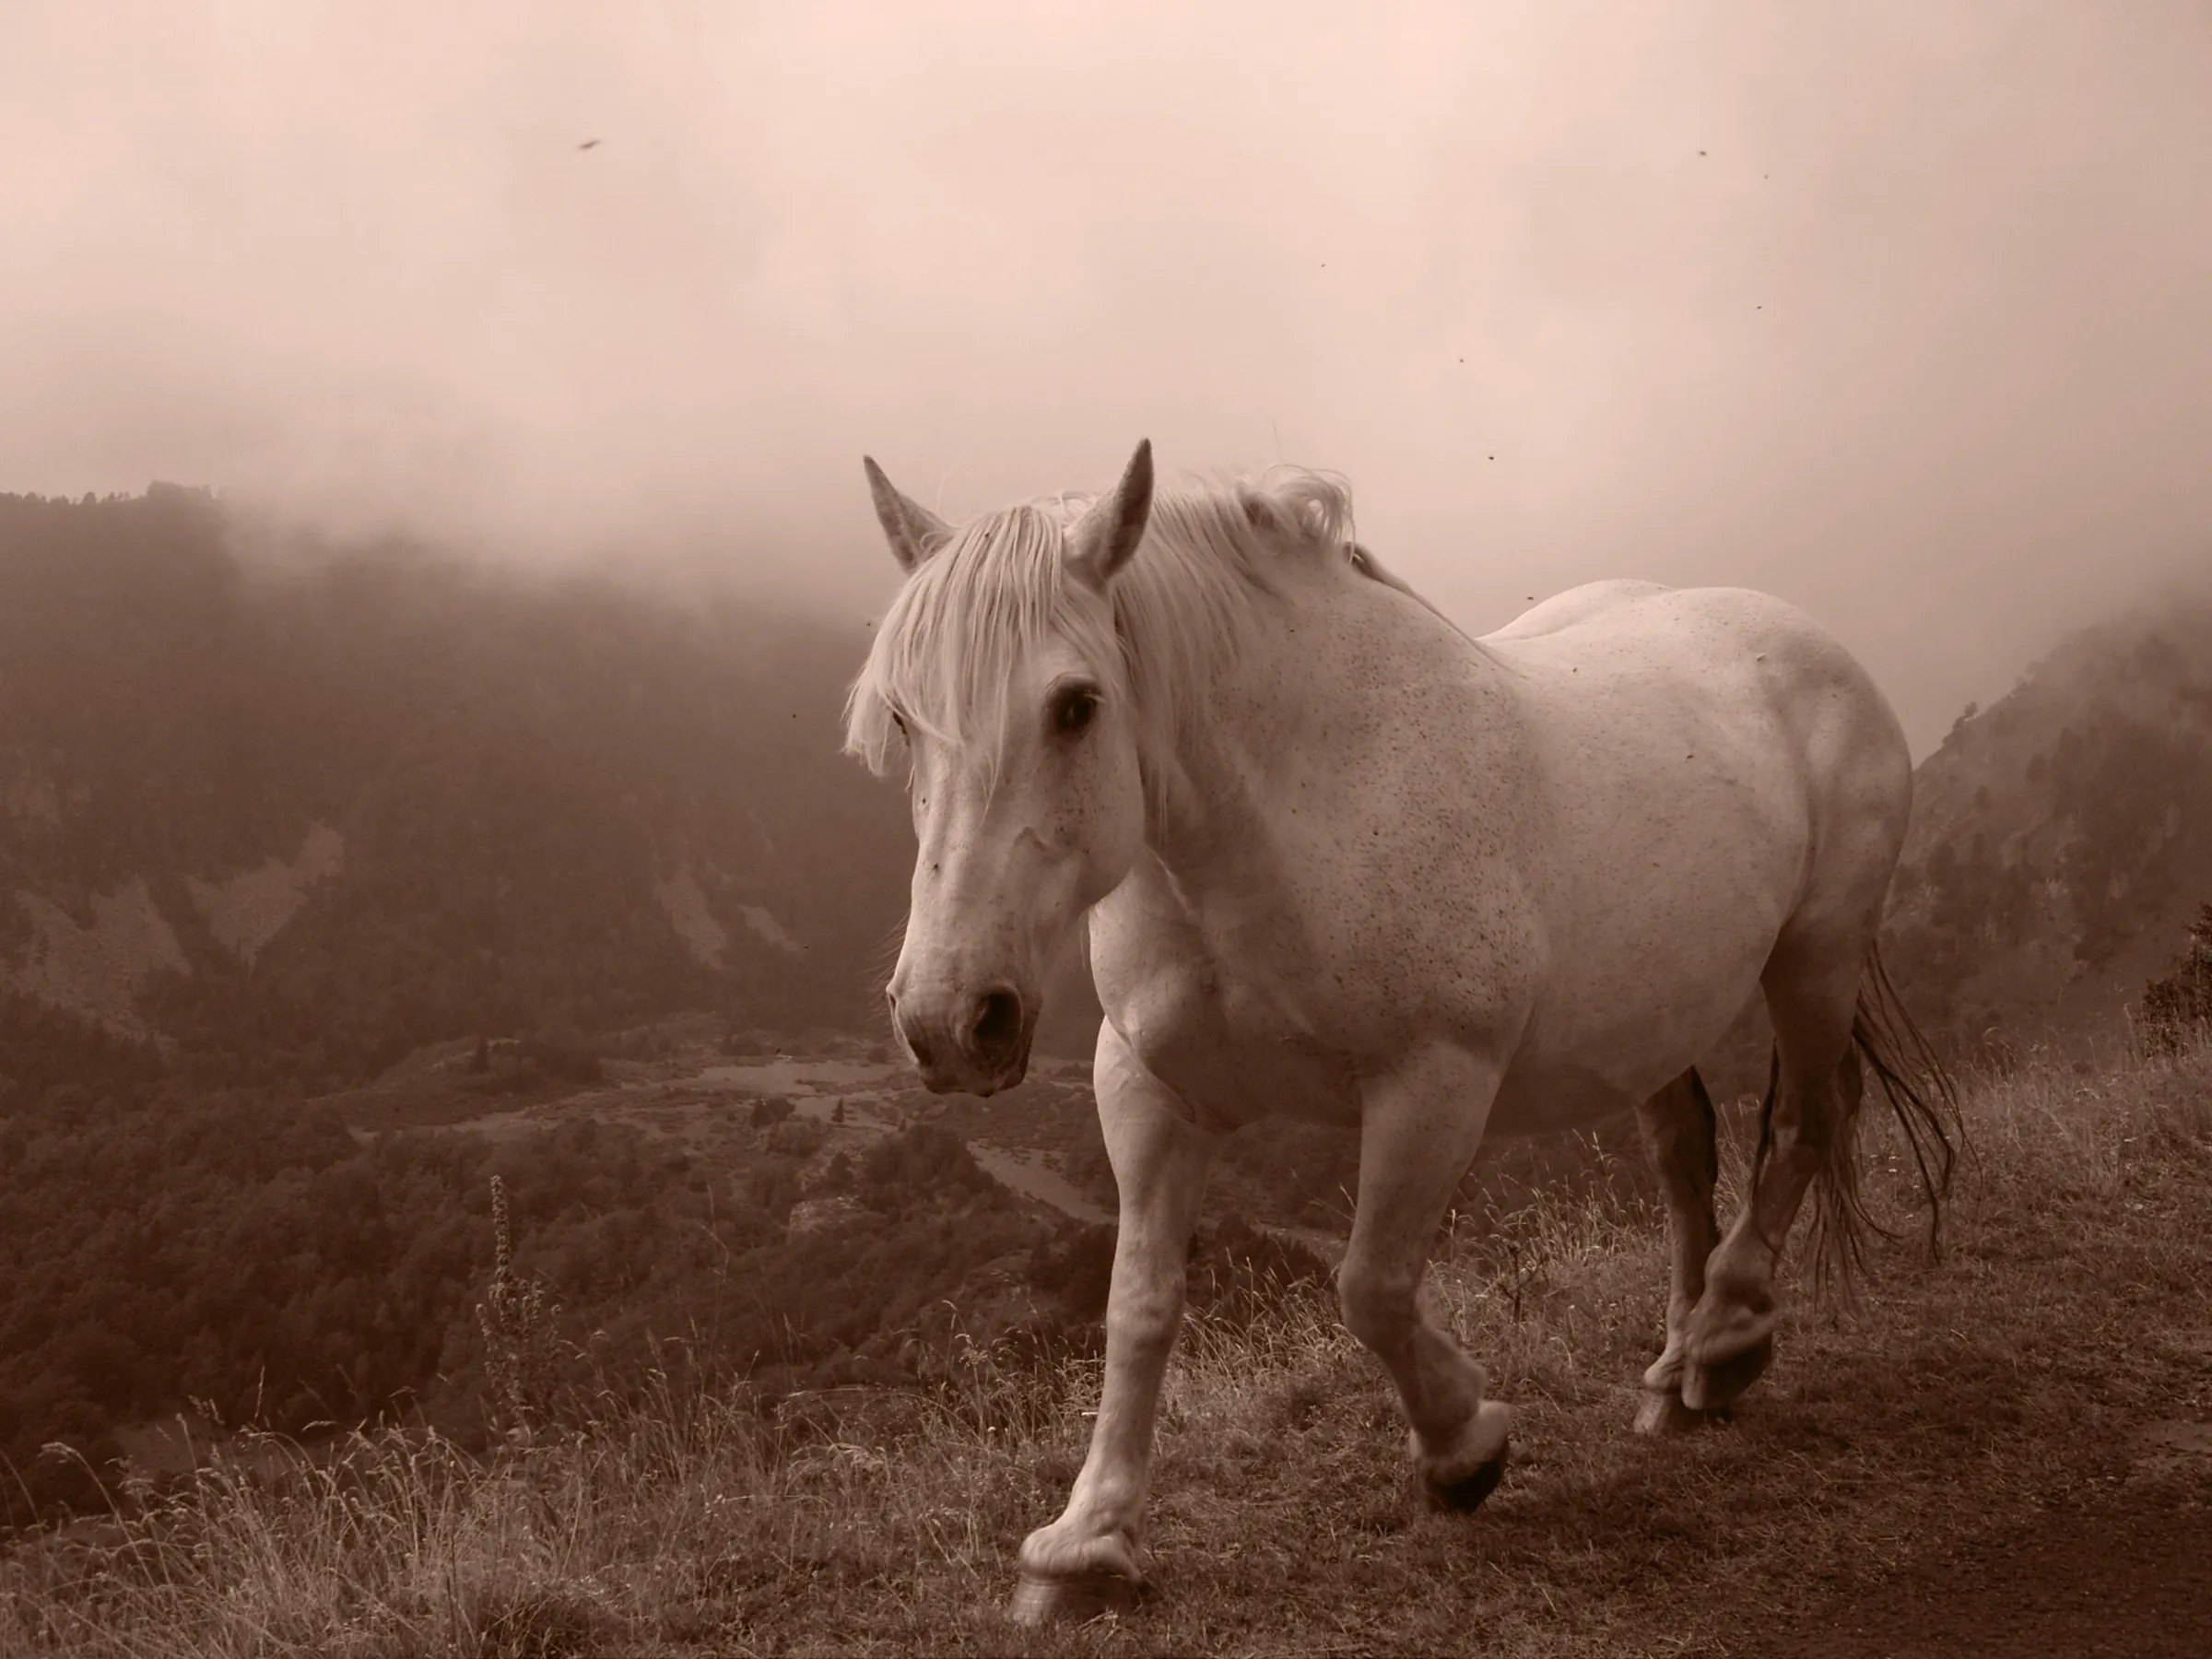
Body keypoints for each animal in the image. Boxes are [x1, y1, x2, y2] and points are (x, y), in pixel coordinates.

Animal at [844, 440, 1957, 1625]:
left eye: (1074, 705)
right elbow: (1138, 1307)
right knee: (1684, 1157)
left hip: (1815, 959)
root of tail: (1807, 642)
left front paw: (1464, 1447)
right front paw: (1085, 1544)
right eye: (903, 719)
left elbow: (1370, 1286)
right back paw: (1673, 1374)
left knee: (1805, 1123)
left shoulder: (1435, 1085)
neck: (1293, 812)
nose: (950, 1021)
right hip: (1653, 1017)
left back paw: (1726, 1342)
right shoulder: (1146, 1091)